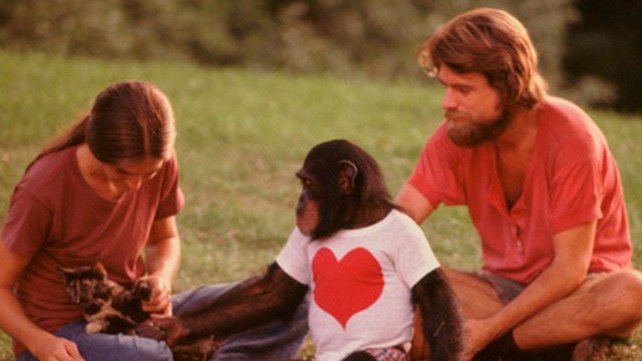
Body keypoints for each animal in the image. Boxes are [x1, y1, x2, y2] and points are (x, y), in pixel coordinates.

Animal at [139, 139, 460, 360]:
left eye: (307, 182)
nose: (301, 200)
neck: (353, 220)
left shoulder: (407, 234)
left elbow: (433, 294)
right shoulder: (300, 236)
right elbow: (276, 291)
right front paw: (172, 327)